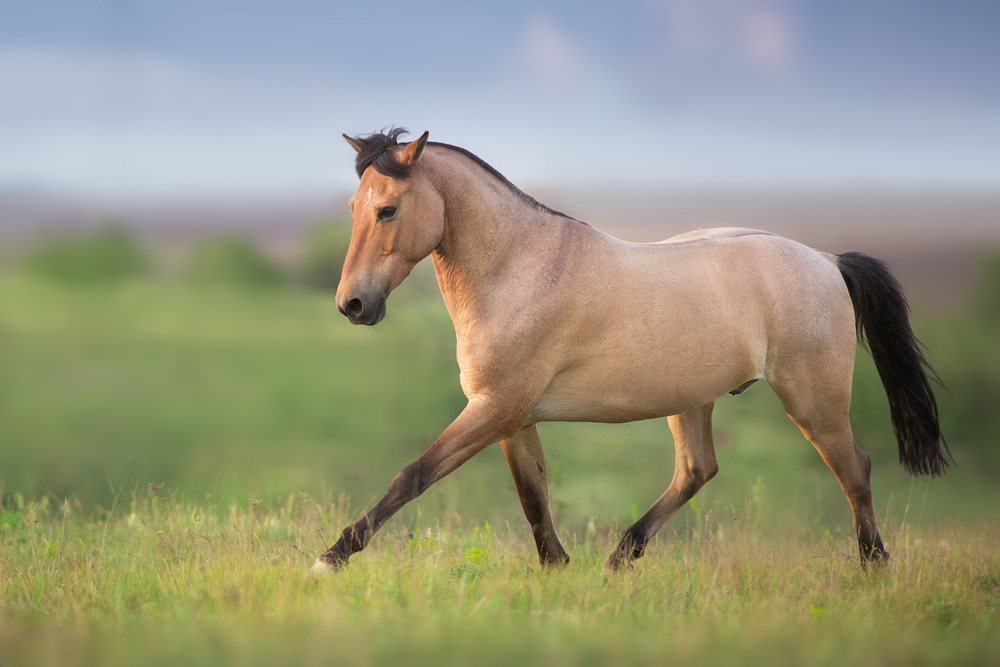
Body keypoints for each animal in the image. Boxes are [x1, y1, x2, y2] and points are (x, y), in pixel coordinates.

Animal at [310, 129, 944, 576]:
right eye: (353, 207)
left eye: (388, 209)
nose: (353, 304)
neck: (520, 269)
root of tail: (828, 261)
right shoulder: (513, 418)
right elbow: (534, 495)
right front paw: (559, 569)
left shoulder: (495, 409)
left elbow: (413, 476)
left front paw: (328, 559)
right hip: (692, 401)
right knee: (697, 470)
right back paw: (620, 557)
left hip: (814, 403)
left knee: (855, 471)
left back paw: (873, 569)